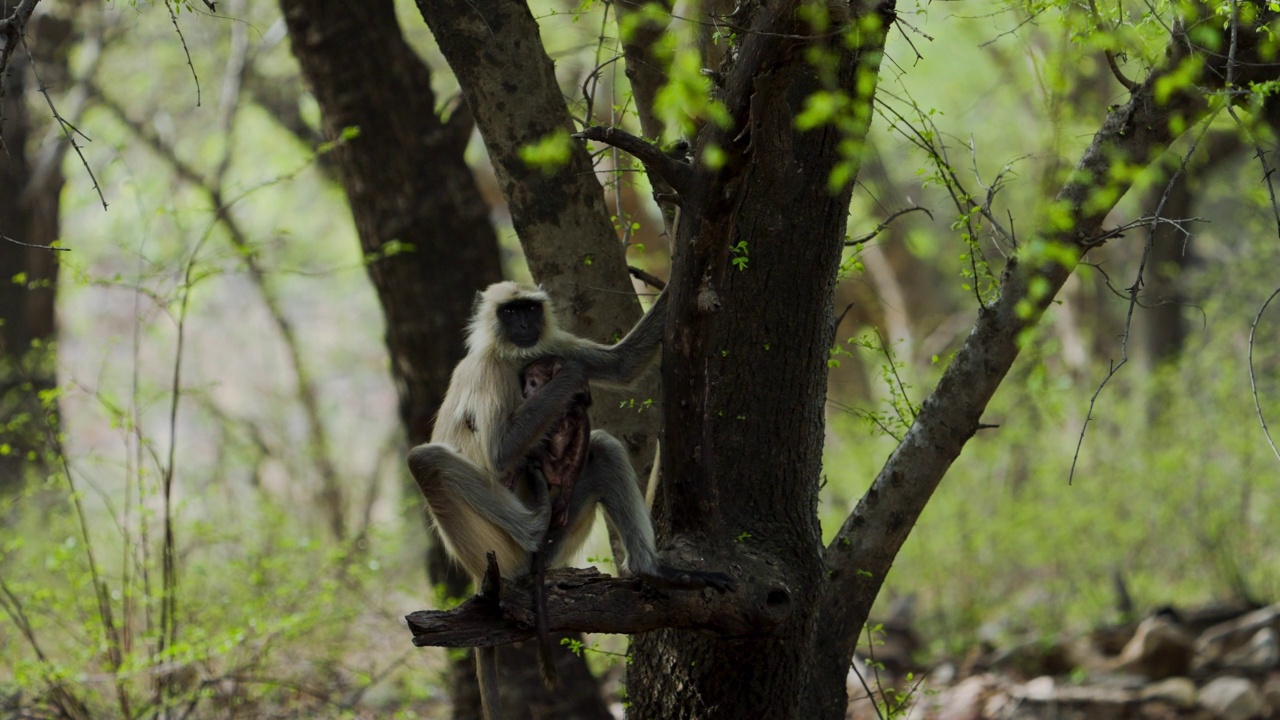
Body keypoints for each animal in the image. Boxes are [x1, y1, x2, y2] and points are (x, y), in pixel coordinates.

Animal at [409, 283, 732, 717]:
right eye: (510, 312)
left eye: (529, 309)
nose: (524, 324)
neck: (509, 356)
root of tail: (482, 573)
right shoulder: (490, 371)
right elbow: (499, 455)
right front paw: (573, 377)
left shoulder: (549, 344)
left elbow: (622, 365)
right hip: (504, 553)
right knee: (425, 460)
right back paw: (532, 525)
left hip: (556, 541)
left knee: (605, 448)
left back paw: (653, 570)